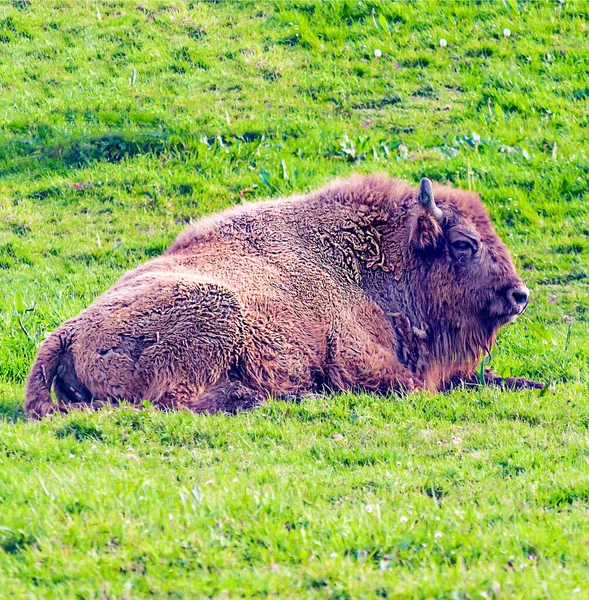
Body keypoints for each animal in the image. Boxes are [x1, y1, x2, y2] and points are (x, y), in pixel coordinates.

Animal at [26, 173, 544, 418]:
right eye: (464, 244)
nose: (519, 295)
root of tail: (66, 331)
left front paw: (532, 383)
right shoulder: (361, 362)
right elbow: (412, 385)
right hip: (215, 317)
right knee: (172, 403)